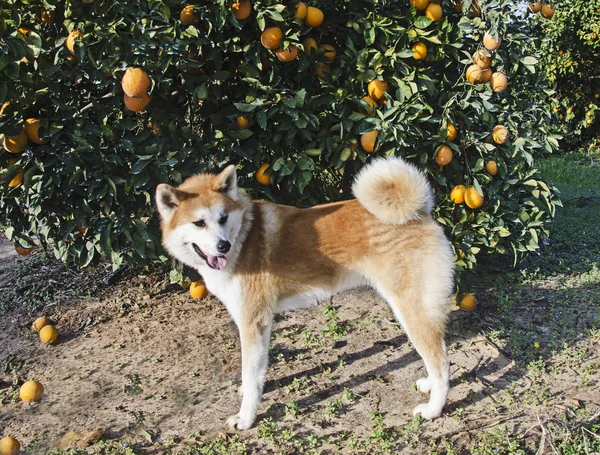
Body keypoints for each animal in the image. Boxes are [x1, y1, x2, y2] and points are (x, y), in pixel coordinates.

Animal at [155, 158, 454, 432]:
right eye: (199, 223)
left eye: (223, 218)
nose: (223, 246)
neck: (243, 237)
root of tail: (419, 212)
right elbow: (255, 373)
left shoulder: (253, 323)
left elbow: (251, 377)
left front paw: (245, 418)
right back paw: (428, 385)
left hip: (411, 310)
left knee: (441, 362)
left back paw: (433, 410)